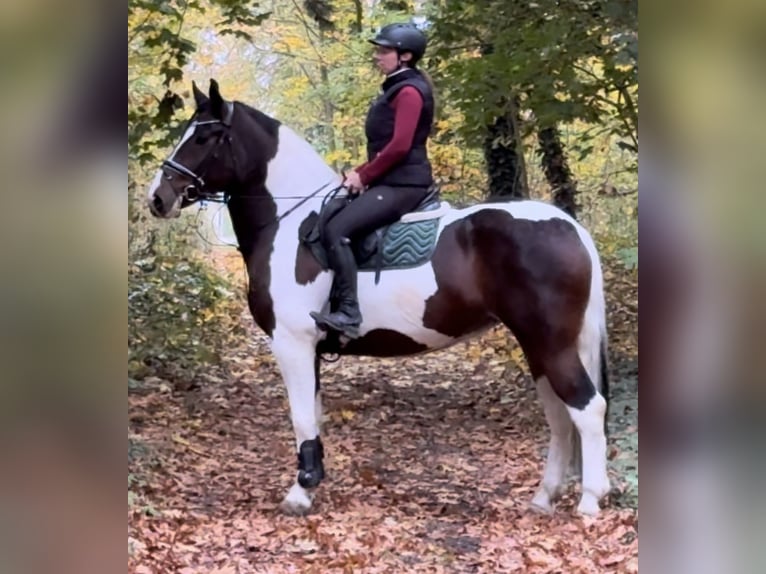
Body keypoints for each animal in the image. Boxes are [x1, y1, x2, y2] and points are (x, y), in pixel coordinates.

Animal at [144, 80, 612, 516]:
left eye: (205, 137)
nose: (158, 199)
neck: (290, 223)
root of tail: (570, 227)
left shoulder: (292, 342)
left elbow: (301, 417)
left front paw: (299, 493)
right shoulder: (310, 348)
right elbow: (314, 416)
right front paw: (311, 484)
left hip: (551, 344)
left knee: (587, 409)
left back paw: (589, 500)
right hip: (537, 345)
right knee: (558, 414)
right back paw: (545, 496)